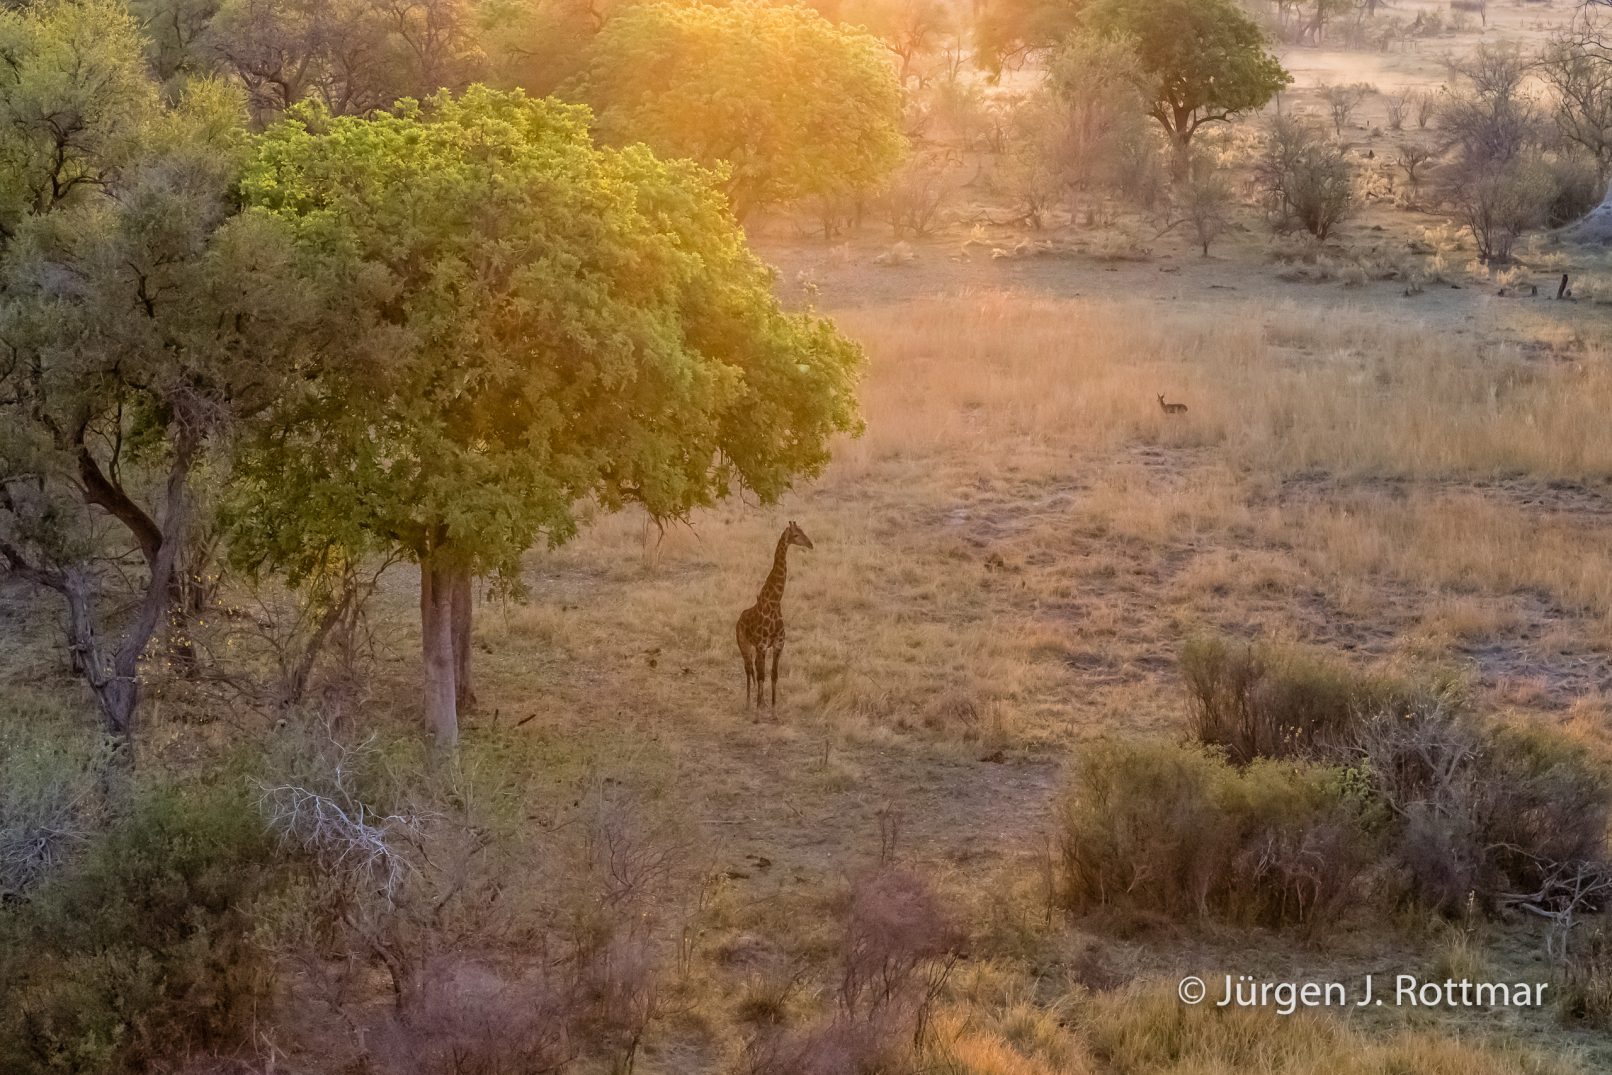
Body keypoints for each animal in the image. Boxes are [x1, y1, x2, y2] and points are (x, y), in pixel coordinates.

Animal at [736, 521, 813, 708]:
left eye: (803, 531)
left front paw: (772, 709)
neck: (774, 603)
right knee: (748, 669)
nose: (811, 544)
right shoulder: (762, 645)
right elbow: (762, 676)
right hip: (744, 645)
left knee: (755, 669)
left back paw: (760, 701)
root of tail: (738, 620)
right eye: (796, 535)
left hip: (754, 648)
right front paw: (757, 710)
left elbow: (773, 676)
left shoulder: (778, 644)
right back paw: (748, 703)